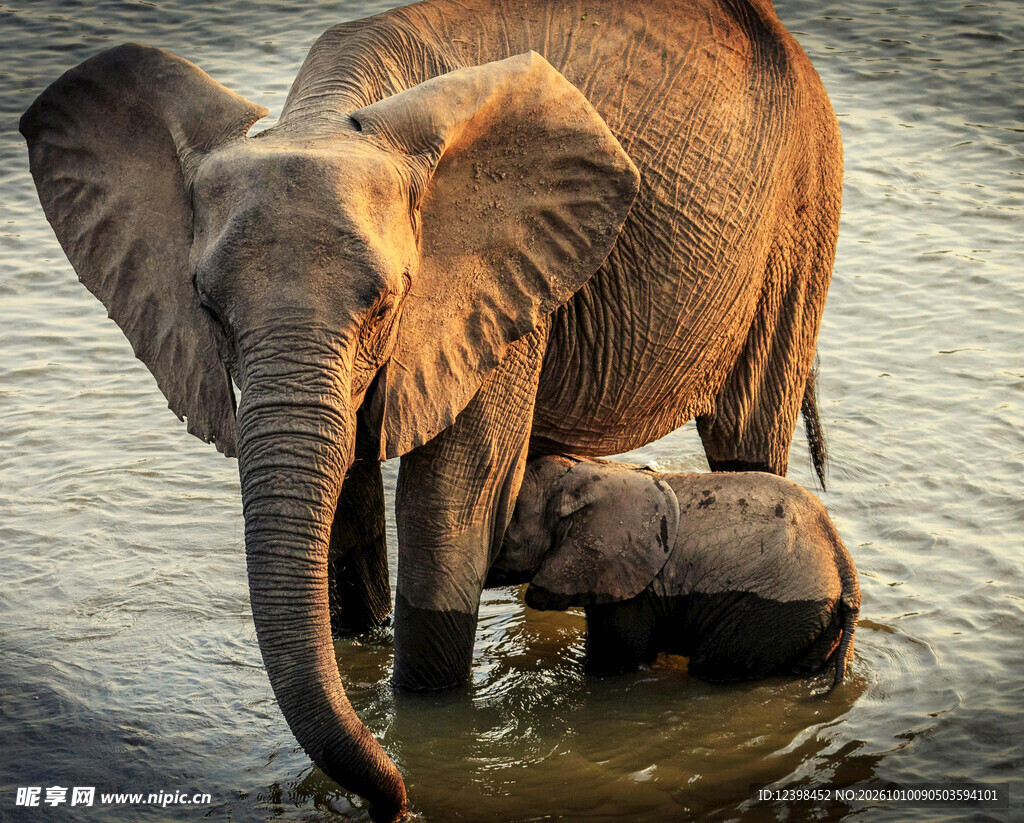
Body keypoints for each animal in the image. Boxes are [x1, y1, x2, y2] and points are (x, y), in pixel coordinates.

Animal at [488, 456, 860, 688]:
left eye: (509, 524)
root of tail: (844, 566)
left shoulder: (629, 586)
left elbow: (617, 662)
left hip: (773, 612)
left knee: (711, 668)